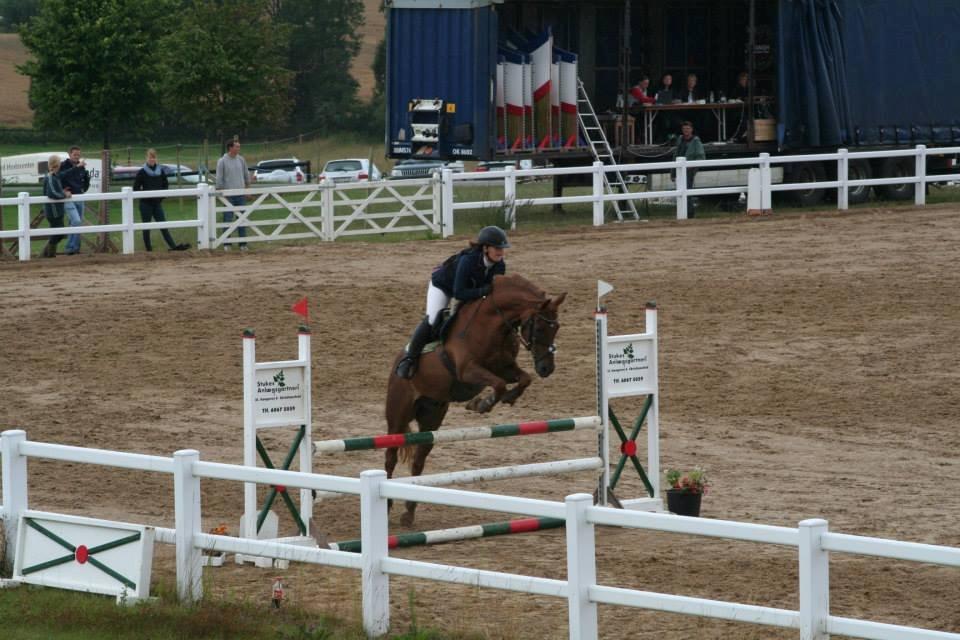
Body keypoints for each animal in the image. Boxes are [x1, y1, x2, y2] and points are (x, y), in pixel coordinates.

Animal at [384, 273, 567, 526]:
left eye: (556, 327)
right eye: (539, 327)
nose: (546, 368)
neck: (493, 325)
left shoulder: (505, 367)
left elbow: (523, 379)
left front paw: (505, 398)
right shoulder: (467, 370)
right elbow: (498, 384)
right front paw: (482, 404)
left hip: (432, 417)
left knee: (419, 459)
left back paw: (409, 512)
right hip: (398, 414)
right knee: (390, 456)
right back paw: (387, 504)